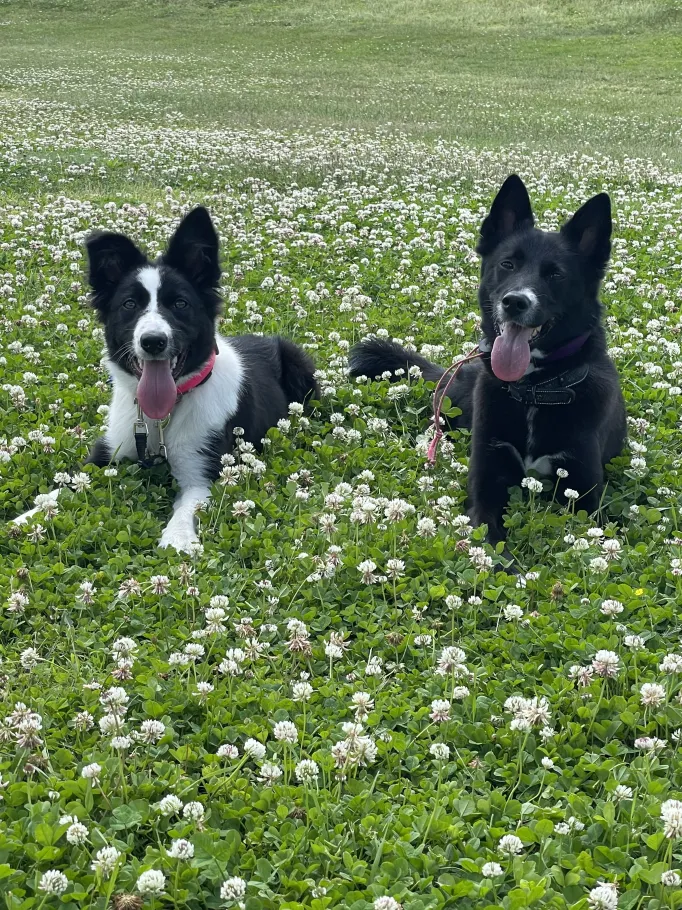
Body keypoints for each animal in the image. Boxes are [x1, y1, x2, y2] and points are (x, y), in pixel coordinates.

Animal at [348, 176, 624, 548]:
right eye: (508, 264)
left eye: (556, 275)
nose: (515, 301)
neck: (534, 390)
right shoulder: (486, 482)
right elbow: (491, 540)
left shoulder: (583, 494)